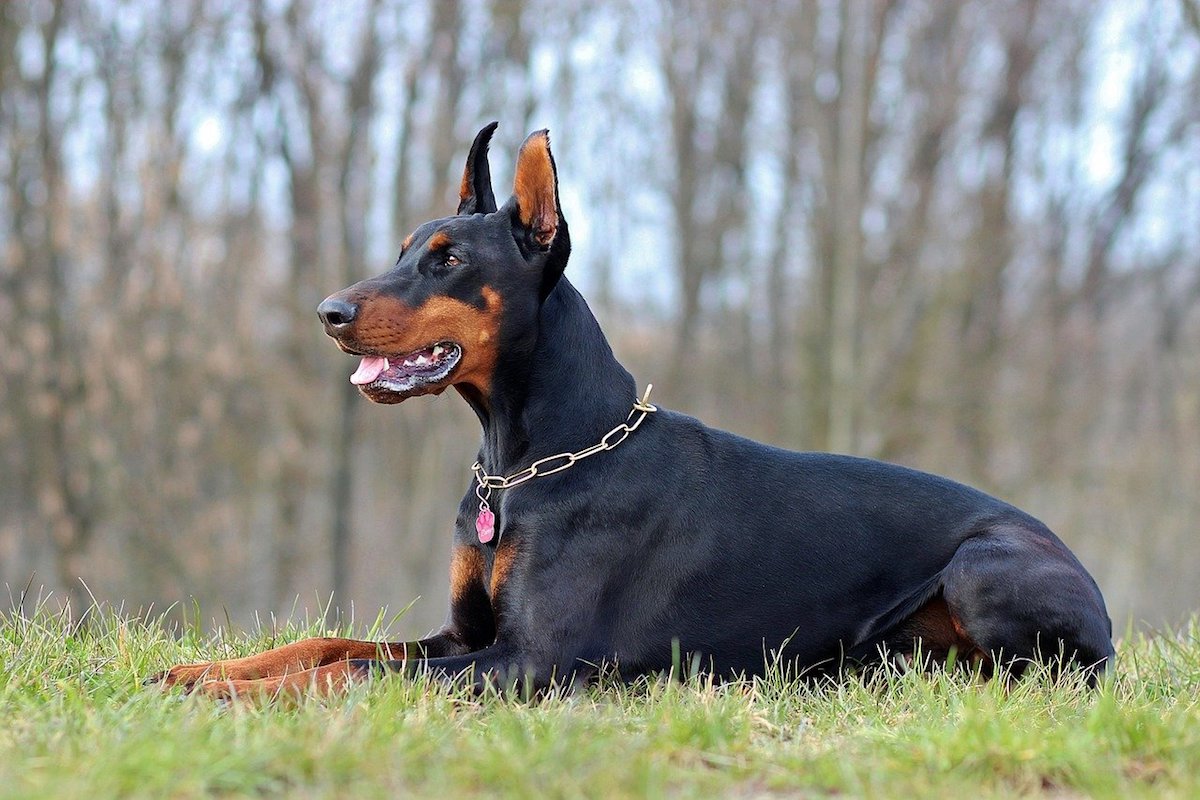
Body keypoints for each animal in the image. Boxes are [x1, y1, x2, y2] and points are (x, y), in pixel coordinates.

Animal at [152, 122, 1113, 695]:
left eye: (448, 259)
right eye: (401, 250)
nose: (328, 312)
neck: (526, 462)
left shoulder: (527, 660)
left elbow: (349, 676)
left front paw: (230, 697)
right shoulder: (462, 636)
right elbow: (325, 648)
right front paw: (200, 672)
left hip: (985, 565)